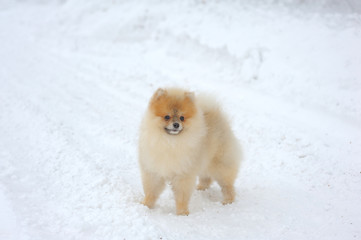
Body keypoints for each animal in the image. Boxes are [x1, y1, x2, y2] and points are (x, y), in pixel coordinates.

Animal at [139, 88, 242, 216]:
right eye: (167, 116)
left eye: (182, 118)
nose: (176, 124)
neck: (170, 142)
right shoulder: (154, 172)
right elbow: (151, 192)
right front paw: (146, 205)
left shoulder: (183, 175)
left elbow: (182, 196)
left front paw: (182, 213)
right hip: (205, 162)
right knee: (206, 177)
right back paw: (201, 188)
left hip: (220, 166)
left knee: (227, 186)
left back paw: (227, 201)